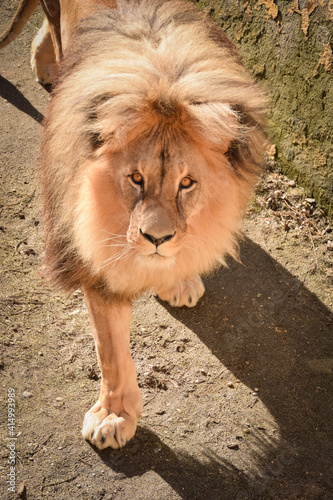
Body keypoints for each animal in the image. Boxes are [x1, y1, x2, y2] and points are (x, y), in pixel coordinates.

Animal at [1, 0, 264, 448]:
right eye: (136, 178)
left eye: (187, 183)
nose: (156, 238)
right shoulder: (92, 259)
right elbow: (111, 353)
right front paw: (114, 415)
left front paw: (178, 278)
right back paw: (48, 67)